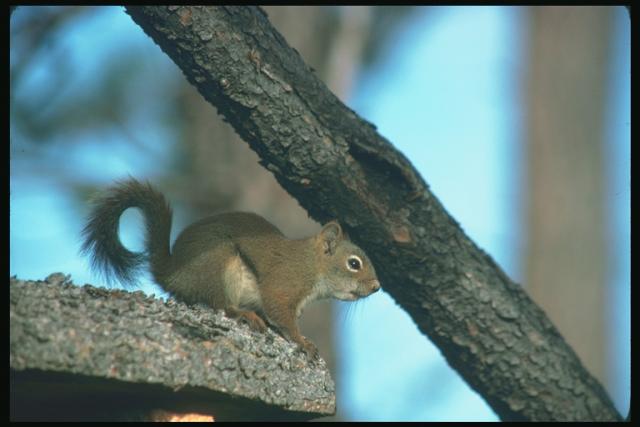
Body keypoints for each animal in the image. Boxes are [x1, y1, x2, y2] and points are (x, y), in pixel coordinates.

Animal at [80, 179, 380, 360]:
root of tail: (173, 273)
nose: (376, 287)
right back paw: (244, 314)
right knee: (221, 305)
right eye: (354, 263)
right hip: (219, 264)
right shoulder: (284, 284)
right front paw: (302, 341)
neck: (312, 265)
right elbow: (280, 313)